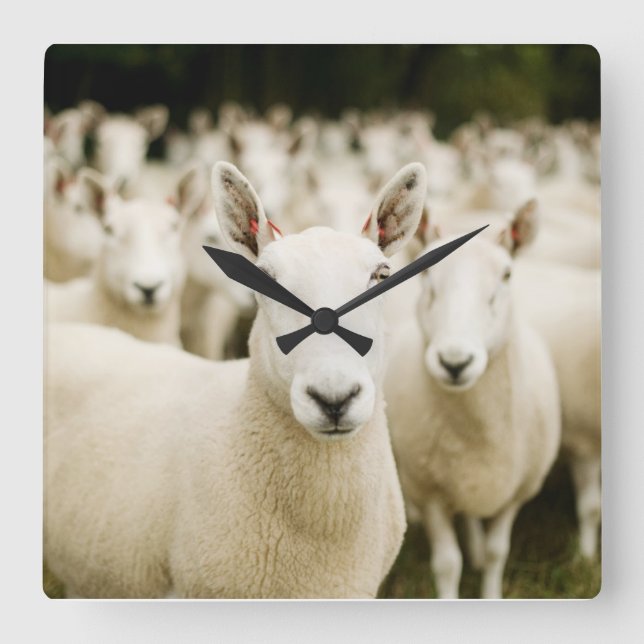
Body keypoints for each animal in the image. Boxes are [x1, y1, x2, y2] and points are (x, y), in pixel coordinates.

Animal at [384, 205, 561, 598]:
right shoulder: (430, 492)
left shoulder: (516, 491)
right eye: (426, 272)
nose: (455, 362)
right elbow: (448, 564)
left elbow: (498, 553)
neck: (479, 431)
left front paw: (489, 582)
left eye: (507, 274)